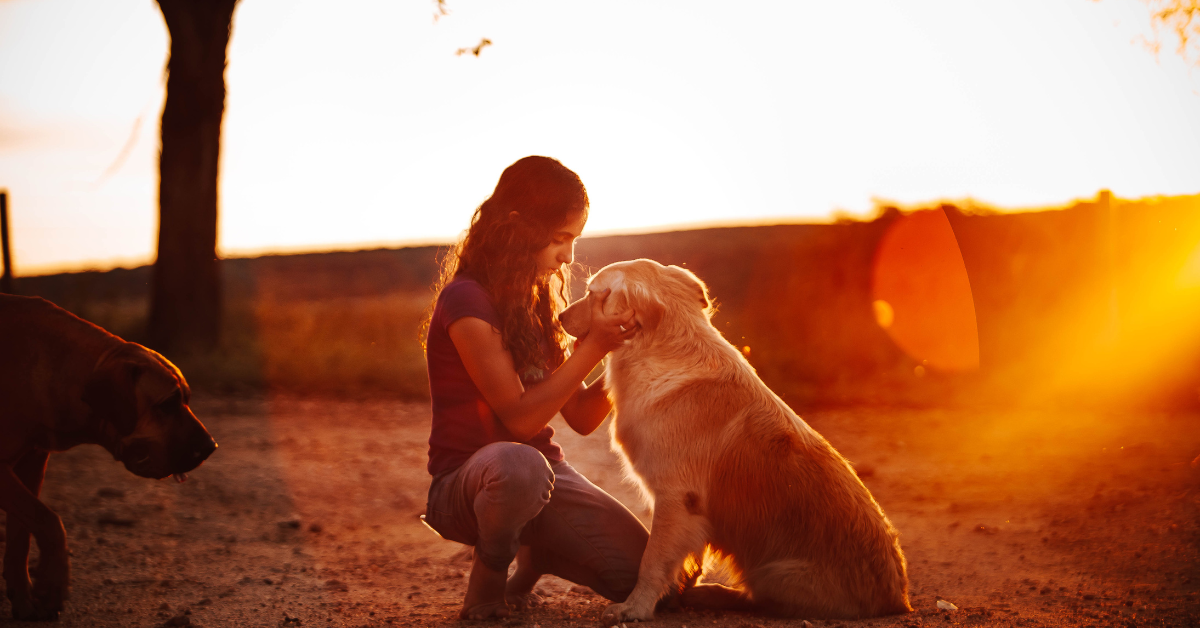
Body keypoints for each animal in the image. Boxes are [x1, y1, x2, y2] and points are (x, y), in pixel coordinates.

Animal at [0, 295, 218, 619]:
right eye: (167, 404)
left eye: (187, 400)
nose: (210, 447)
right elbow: (48, 520)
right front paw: (53, 586)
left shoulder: (33, 461)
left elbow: (22, 533)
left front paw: (24, 599)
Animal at [559, 259, 907, 624]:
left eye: (592, 293)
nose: (560, 317)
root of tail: (898, 599)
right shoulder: (688, 509)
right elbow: (686, 561)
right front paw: (673, 595)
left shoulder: (675, 497)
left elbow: (651, 561)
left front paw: (635, 607)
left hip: (774, 573)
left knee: (759, 601)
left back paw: (713, 594)